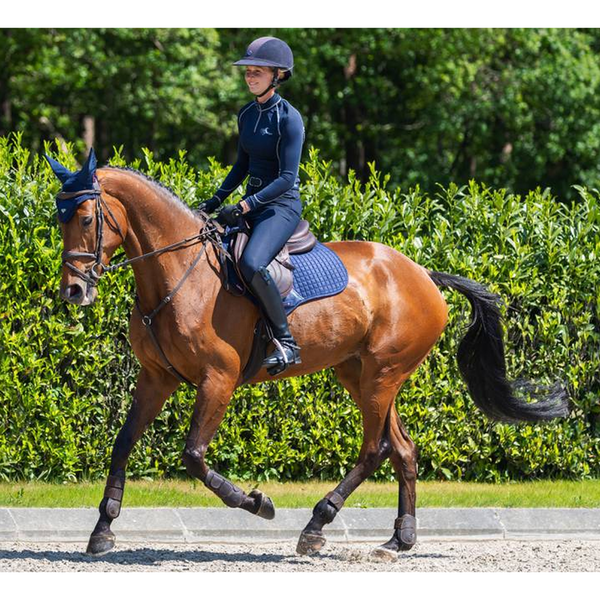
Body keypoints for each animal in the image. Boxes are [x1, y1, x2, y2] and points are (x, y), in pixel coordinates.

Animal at [50, 156, 568, 556]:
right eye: (60, 220)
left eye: (88, 219)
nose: (73, 291)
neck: (178, 273)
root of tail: (423, 273)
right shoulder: (157, 376)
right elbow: (122, 443)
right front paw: (102, 531)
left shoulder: (218, 379)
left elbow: (194, 456)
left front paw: (258, 503)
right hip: (361, 374)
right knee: (402, 448)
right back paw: (399, 540)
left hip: (382, 374)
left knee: (375, 449)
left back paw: (316, 525)